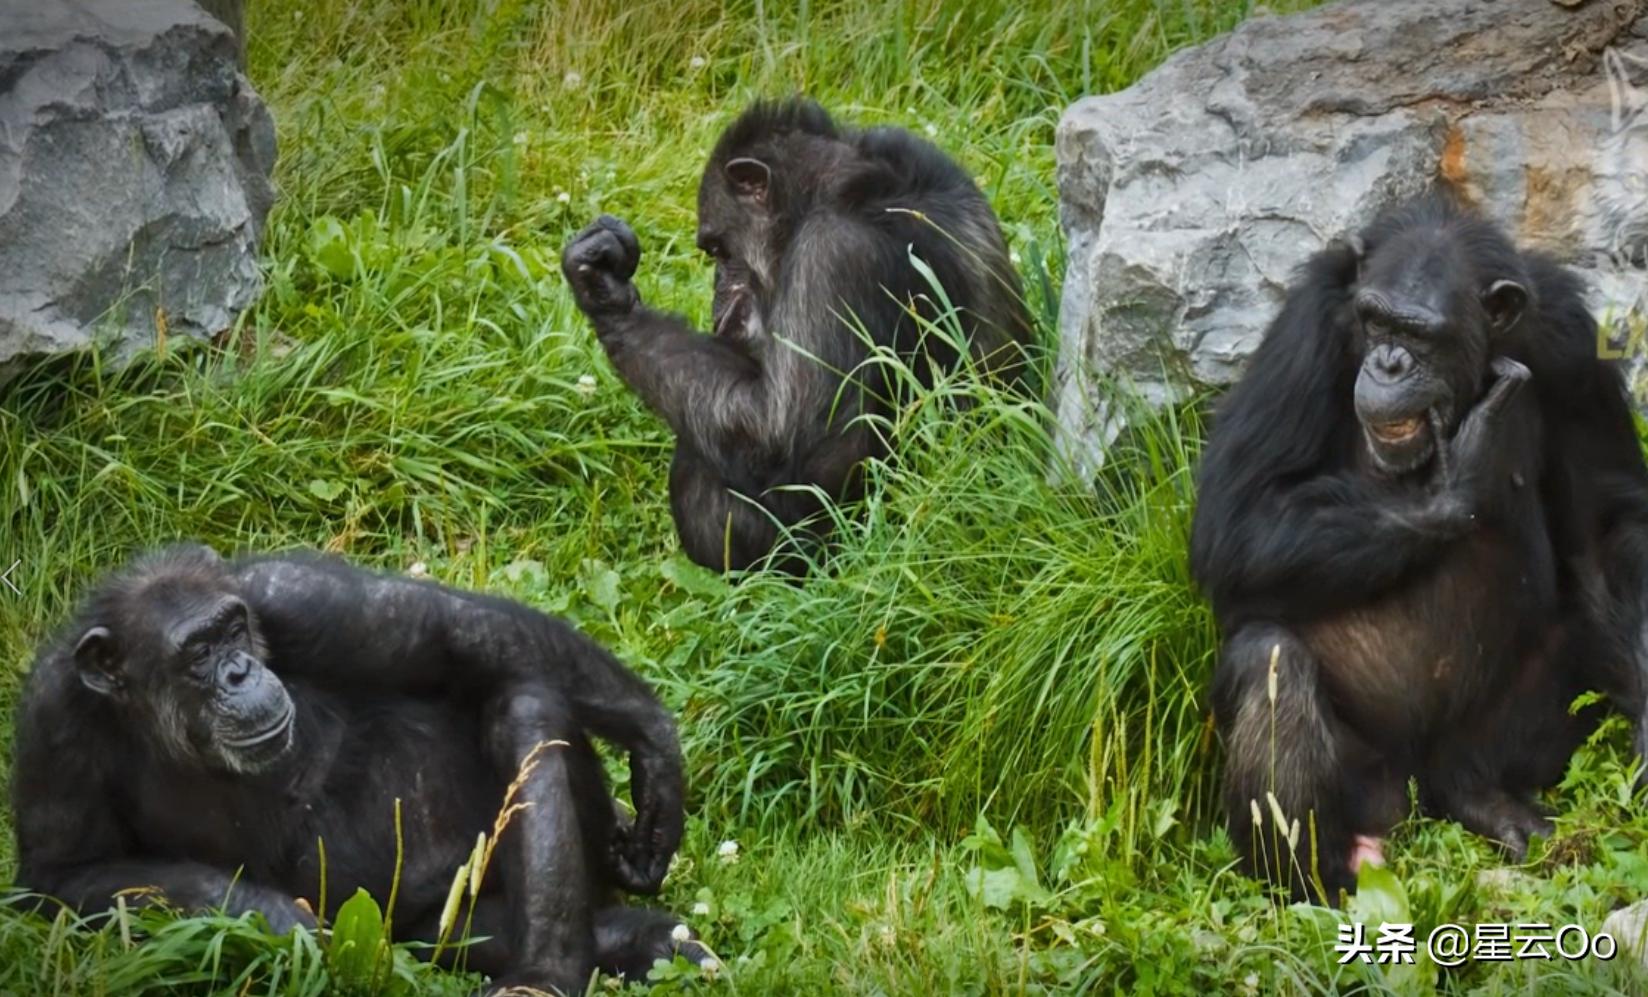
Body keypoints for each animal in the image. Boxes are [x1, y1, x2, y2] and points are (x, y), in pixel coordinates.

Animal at [9, 543, 711, 988]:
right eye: (198, 652)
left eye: (232, 630)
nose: (239, 671)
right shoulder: (51, 724)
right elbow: (64, 874)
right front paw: (270, 914)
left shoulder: (284, 595)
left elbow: (448, 631)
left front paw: (653, 751)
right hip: (428, 934)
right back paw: (634, 939)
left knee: (524, 702)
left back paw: (547, 974)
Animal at [1193, 192, 1648, 903]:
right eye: (1376, 322)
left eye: (1420, 334)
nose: (1388, 363)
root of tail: (1417, 780)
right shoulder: (1307, 325)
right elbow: (1236, 514)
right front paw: (1462, 475)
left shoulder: (1572, 342)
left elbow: (1604, 521)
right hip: (1368, 784)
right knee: (1270, 658)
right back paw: (1314, 882)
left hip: (1488, 740)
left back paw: (1486, 800)